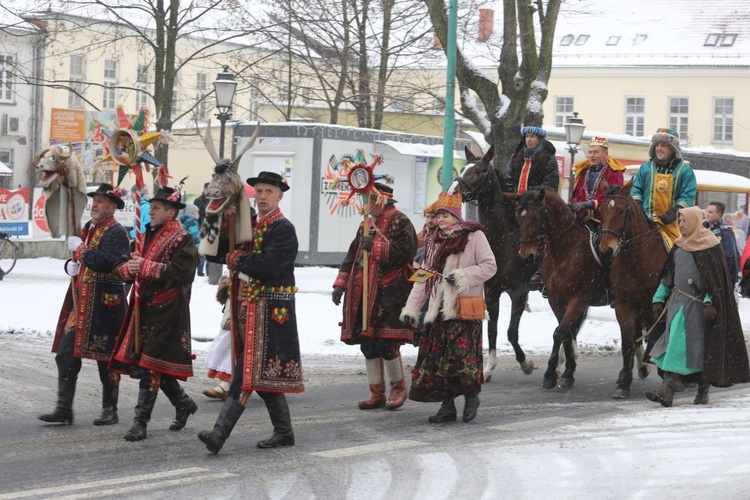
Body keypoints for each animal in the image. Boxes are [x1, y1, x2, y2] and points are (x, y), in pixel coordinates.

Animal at [450, 145, 536, 378]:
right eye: (464, 167)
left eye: (480, 171)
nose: (453, 190)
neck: (502, 241)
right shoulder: (491, 291)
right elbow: (492, 330)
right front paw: (488, 367)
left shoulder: (519, 291)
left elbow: (511, 332)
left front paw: (525, 363)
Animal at [520, 188, 612, 390]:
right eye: (518, 217)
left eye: (535, 218)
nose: (526, 257)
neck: (565, 250)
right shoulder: (556, 299)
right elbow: (566, 334)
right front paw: (568, 372)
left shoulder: (579, 299)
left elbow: (559, 332)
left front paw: (550, 374)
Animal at [600, 180, 668, 394]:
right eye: (601, 211)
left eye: (622, 211)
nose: (606, 251)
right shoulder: (625, 307)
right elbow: (628, 343)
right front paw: (624, 383)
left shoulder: (658, 308)